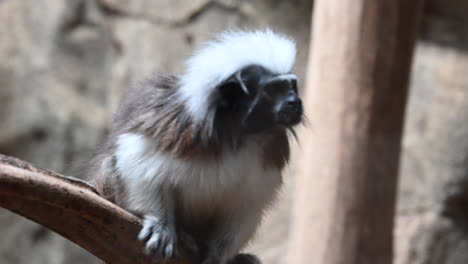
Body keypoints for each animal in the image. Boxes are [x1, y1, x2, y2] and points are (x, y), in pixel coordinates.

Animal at [88, 29, 304, 262]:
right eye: (274, 89)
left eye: (292, 87)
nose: (295, 103)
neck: (238, 134)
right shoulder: (177, 129)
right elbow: (136, 160)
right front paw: (159, 223)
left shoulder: (269, 154)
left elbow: (247, 205)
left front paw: (218, 255)